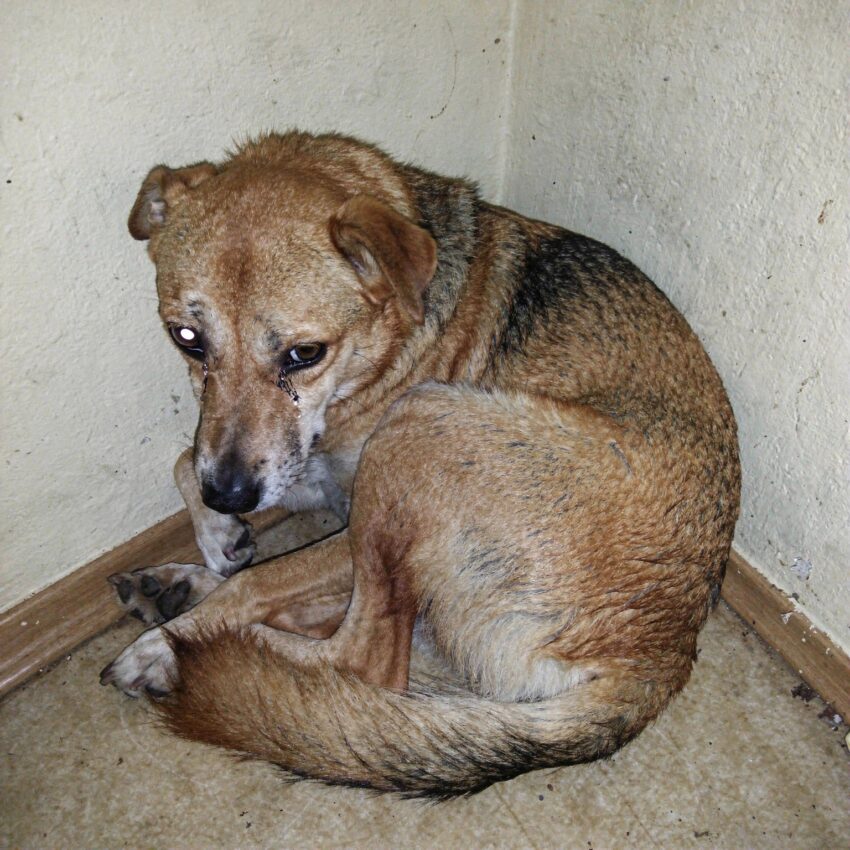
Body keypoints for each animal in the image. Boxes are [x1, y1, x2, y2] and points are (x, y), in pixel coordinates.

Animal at [100, 131, 740, 797]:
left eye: (305, 354)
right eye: (187, 338)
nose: (228, 497)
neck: (382, 350)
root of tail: (661, 659)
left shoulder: (341, 497)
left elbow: (260, 580)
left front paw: (169, 639)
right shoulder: (306, 472)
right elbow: (186, 464)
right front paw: (217, 540)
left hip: (418, 426)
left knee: (365, 661)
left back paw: (182, 646)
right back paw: (174, 588)